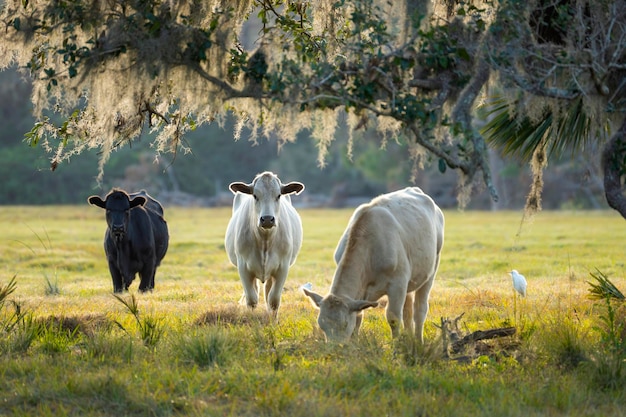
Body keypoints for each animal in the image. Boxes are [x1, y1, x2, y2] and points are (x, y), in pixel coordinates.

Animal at [224, 171, 304, 316]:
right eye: (255, 195)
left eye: (278, 195)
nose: (267, 219)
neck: (265, 241)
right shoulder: (243, 266)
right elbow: (252, 299)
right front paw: (251, 318)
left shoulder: (282, 267)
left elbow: (273, 300)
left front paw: (273, 320)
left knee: (268, 291)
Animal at [304, 187, 444, 342]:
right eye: (321, 325)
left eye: (344, 324)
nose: (335, 347)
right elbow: (358, 318)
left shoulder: (398, 283)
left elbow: (393, 318)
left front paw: (396, 345)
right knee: (408, 310)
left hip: (432, 268)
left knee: (420, 310)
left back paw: (418, 341)